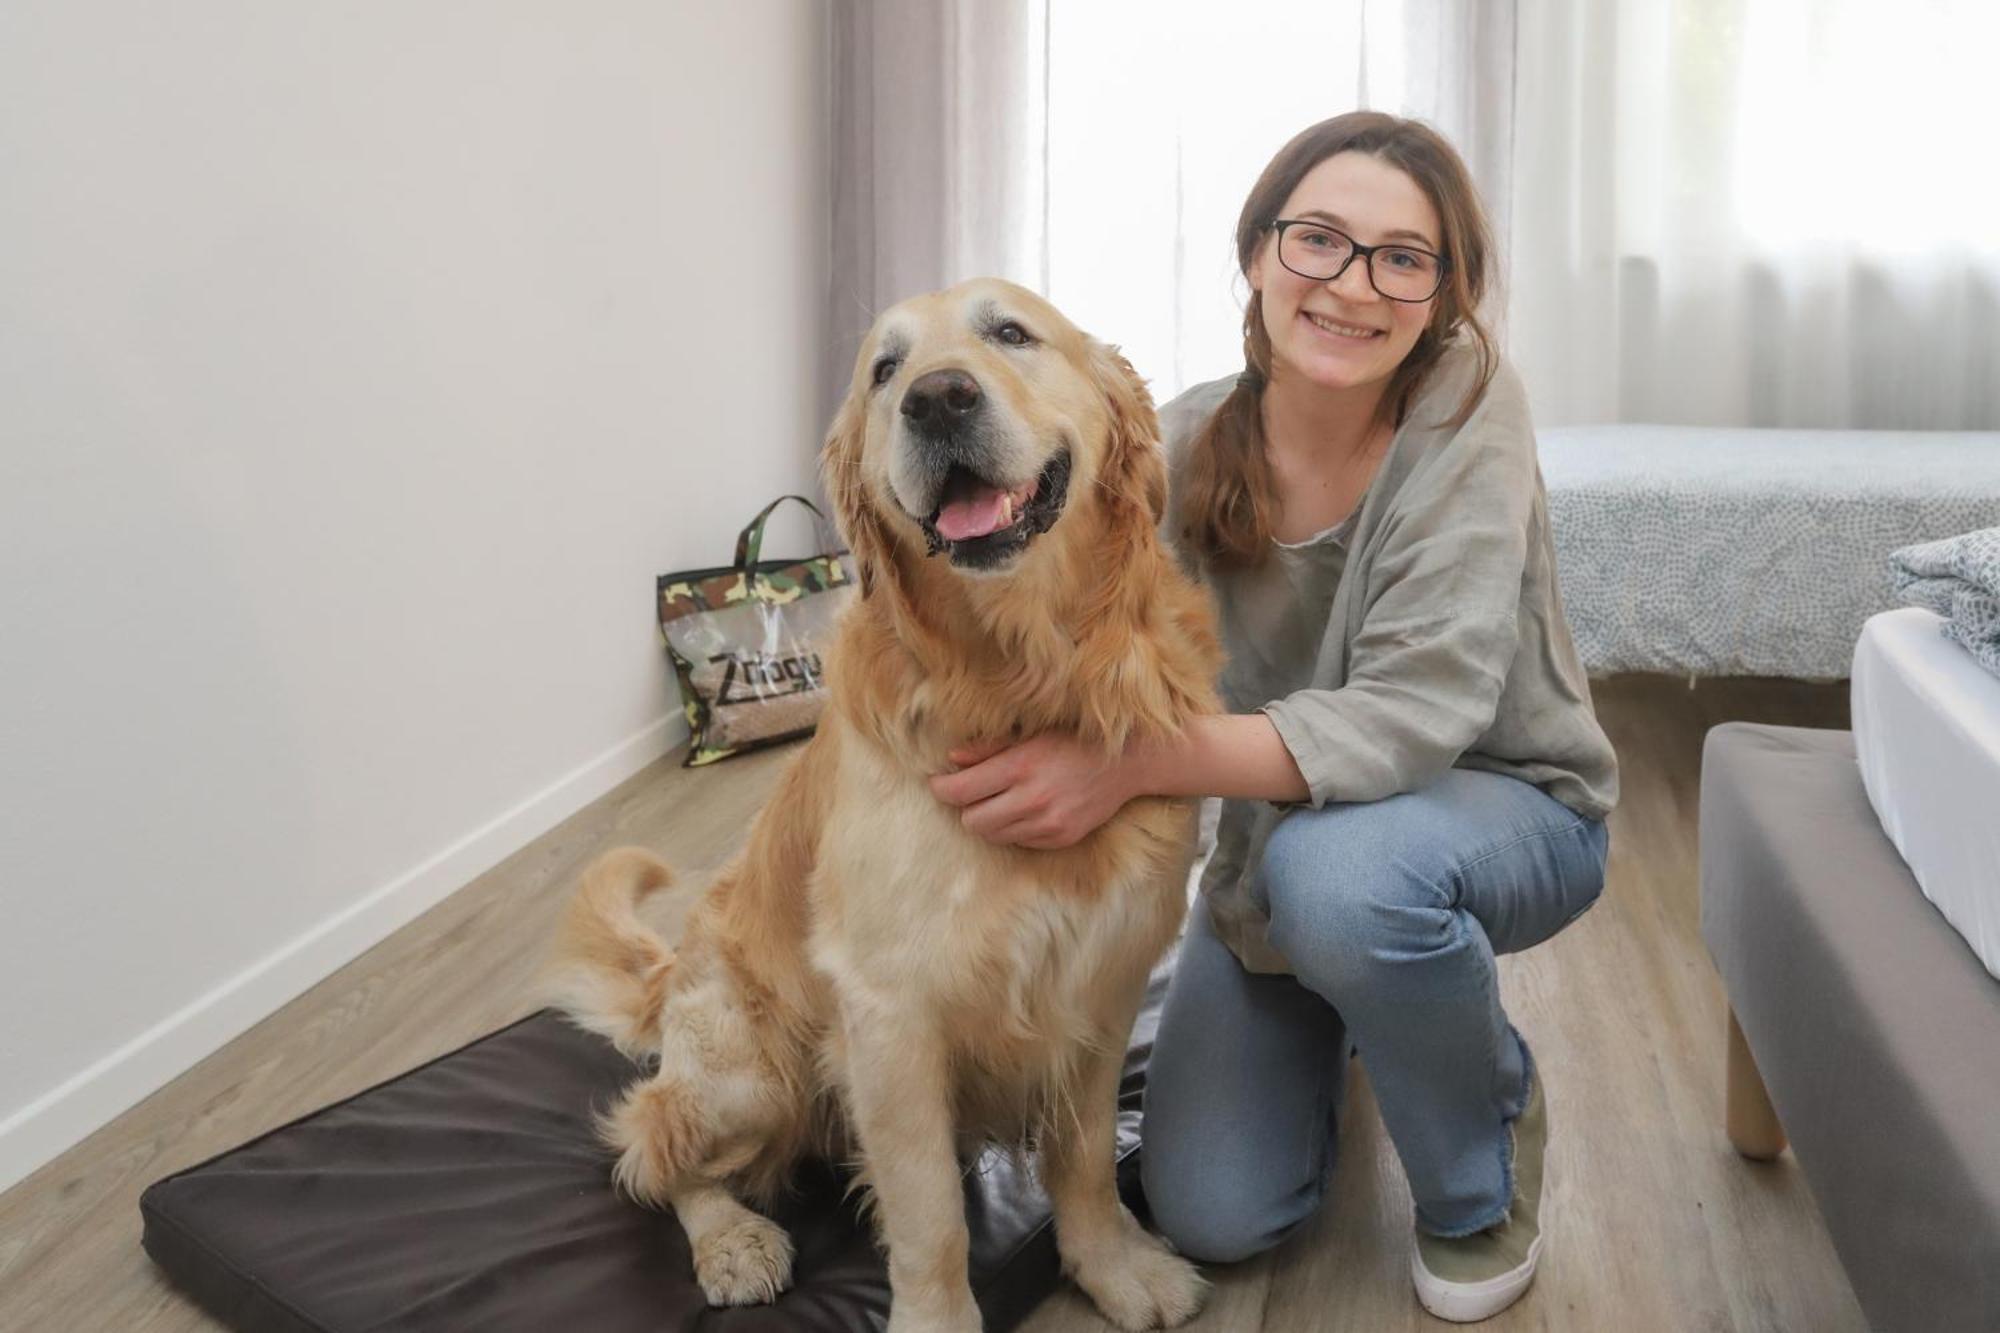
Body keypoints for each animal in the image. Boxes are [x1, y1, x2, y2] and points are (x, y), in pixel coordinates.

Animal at [544, 274, 1216, 1320]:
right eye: (885, 370)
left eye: (1011, 332)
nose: (938, 399)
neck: (1016, 678)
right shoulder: (891, 1011)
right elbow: (932, 1216)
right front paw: (938, 1314)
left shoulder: (1100, 980)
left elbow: (1086, 1156)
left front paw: (1113, 1264)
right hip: (749, 1070)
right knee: (652, 1149)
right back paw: (732, 1239)